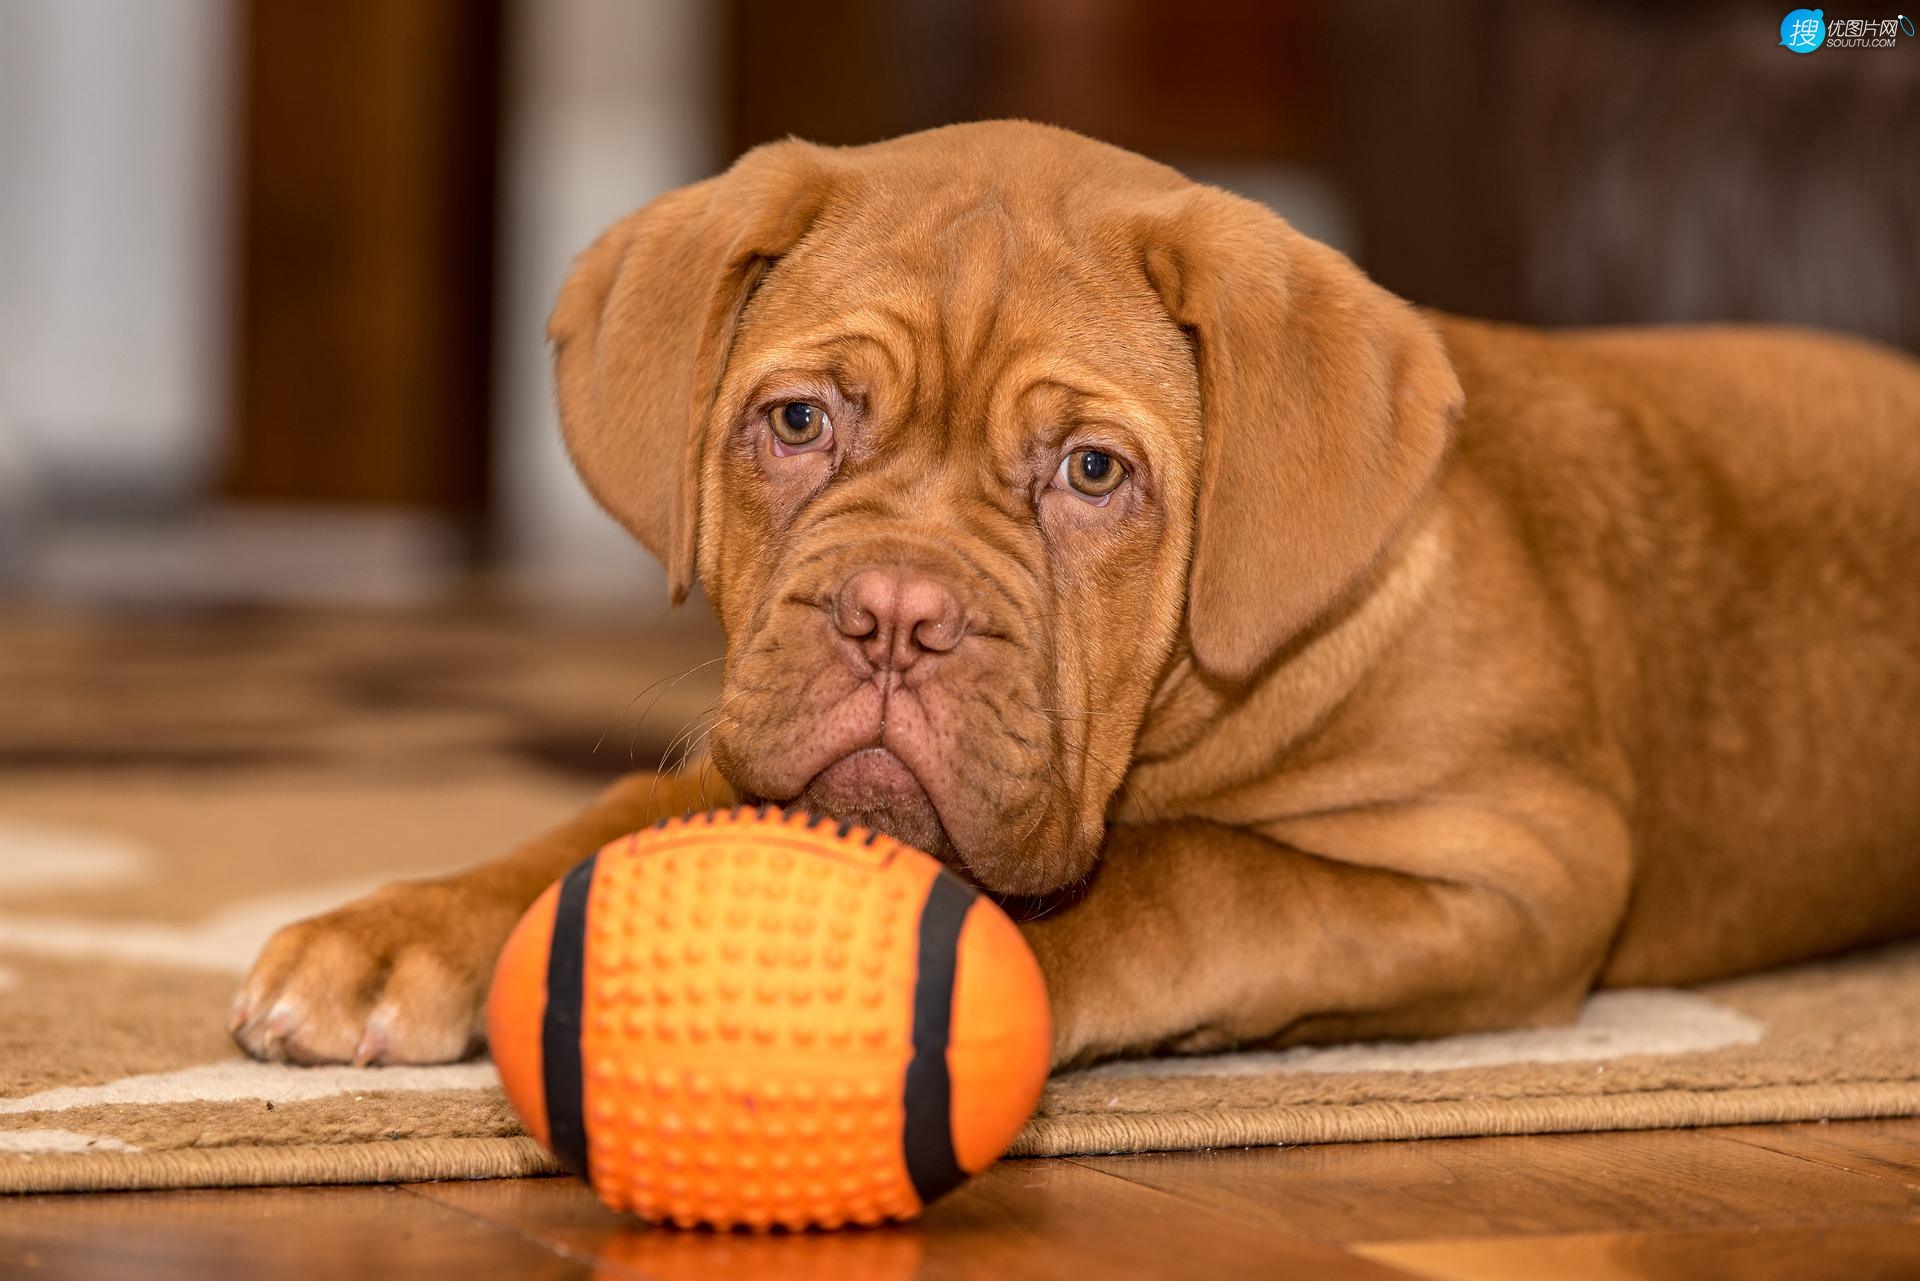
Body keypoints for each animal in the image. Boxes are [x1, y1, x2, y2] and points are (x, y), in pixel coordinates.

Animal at [232, 122, 1920, 1075]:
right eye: (798, 422)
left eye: (1093, 471)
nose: (893, 615)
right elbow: (607, 824)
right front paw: (407, 931)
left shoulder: (1516, 864)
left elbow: (1195, 876)